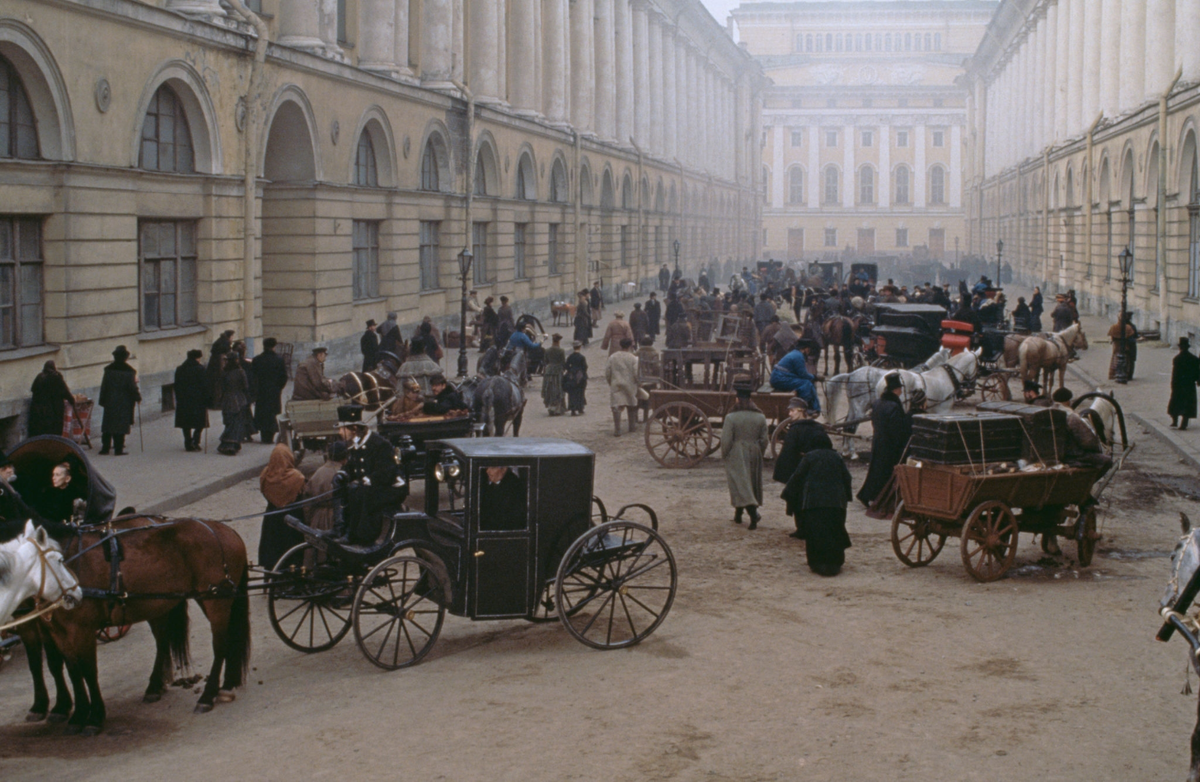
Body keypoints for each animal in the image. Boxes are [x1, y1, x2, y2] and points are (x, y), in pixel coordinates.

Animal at [42, 518, 249, 734]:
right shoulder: (58, 631)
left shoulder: (82, 629)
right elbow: (73, 670)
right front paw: (78, 715)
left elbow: (88, 671)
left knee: (220, 645)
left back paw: (208, 695)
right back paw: (223, 686)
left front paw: (95, 716)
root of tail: (224, 529)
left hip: (216, 600)